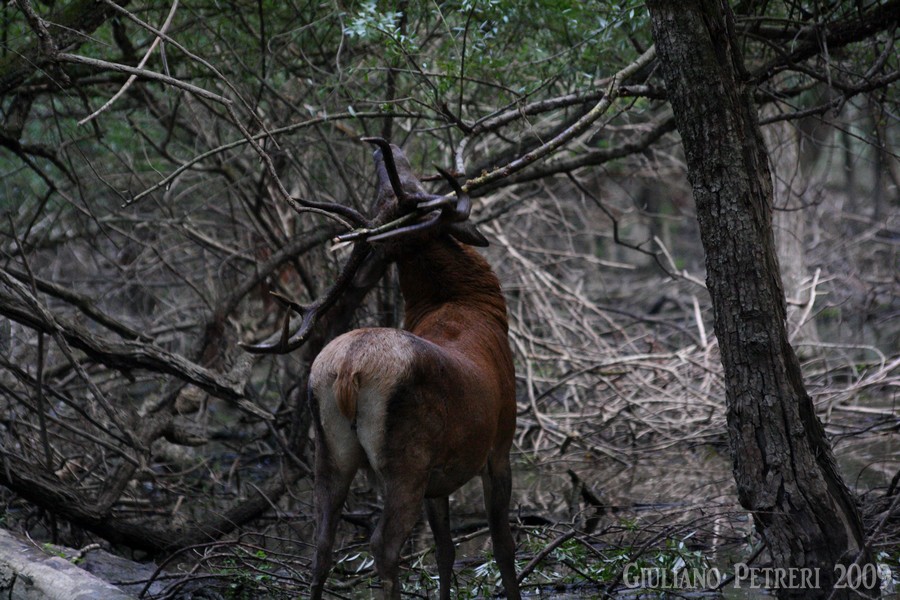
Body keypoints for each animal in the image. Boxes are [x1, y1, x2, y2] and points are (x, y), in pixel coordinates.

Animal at [243, 139, 520, 600]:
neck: (468, 306)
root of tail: (349, 369)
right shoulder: (500, 444)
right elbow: (502, 547)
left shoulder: (439, 477)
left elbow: (445, 550)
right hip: (406, 459)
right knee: (383, 546)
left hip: (331, 451)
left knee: (322, 543)